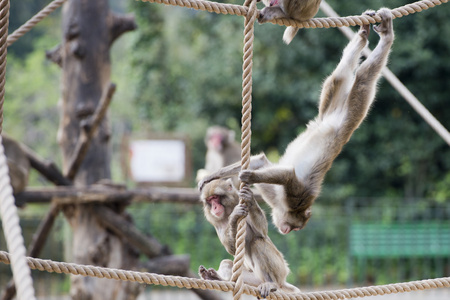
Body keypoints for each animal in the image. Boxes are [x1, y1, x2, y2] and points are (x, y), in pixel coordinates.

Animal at [200, 8, 394, 234]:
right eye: (295, 227)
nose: (287, 230)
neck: (284, 207)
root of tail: (337, 123)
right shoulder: (297, 197)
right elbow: (288, 175)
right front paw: (248, 178)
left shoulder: (276, 197)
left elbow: (261, 162)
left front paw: (215, 176)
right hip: (351, 110)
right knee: (362, 77)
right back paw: (385, 38)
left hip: (329, 108)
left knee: (338, 78)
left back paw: (362, 36)